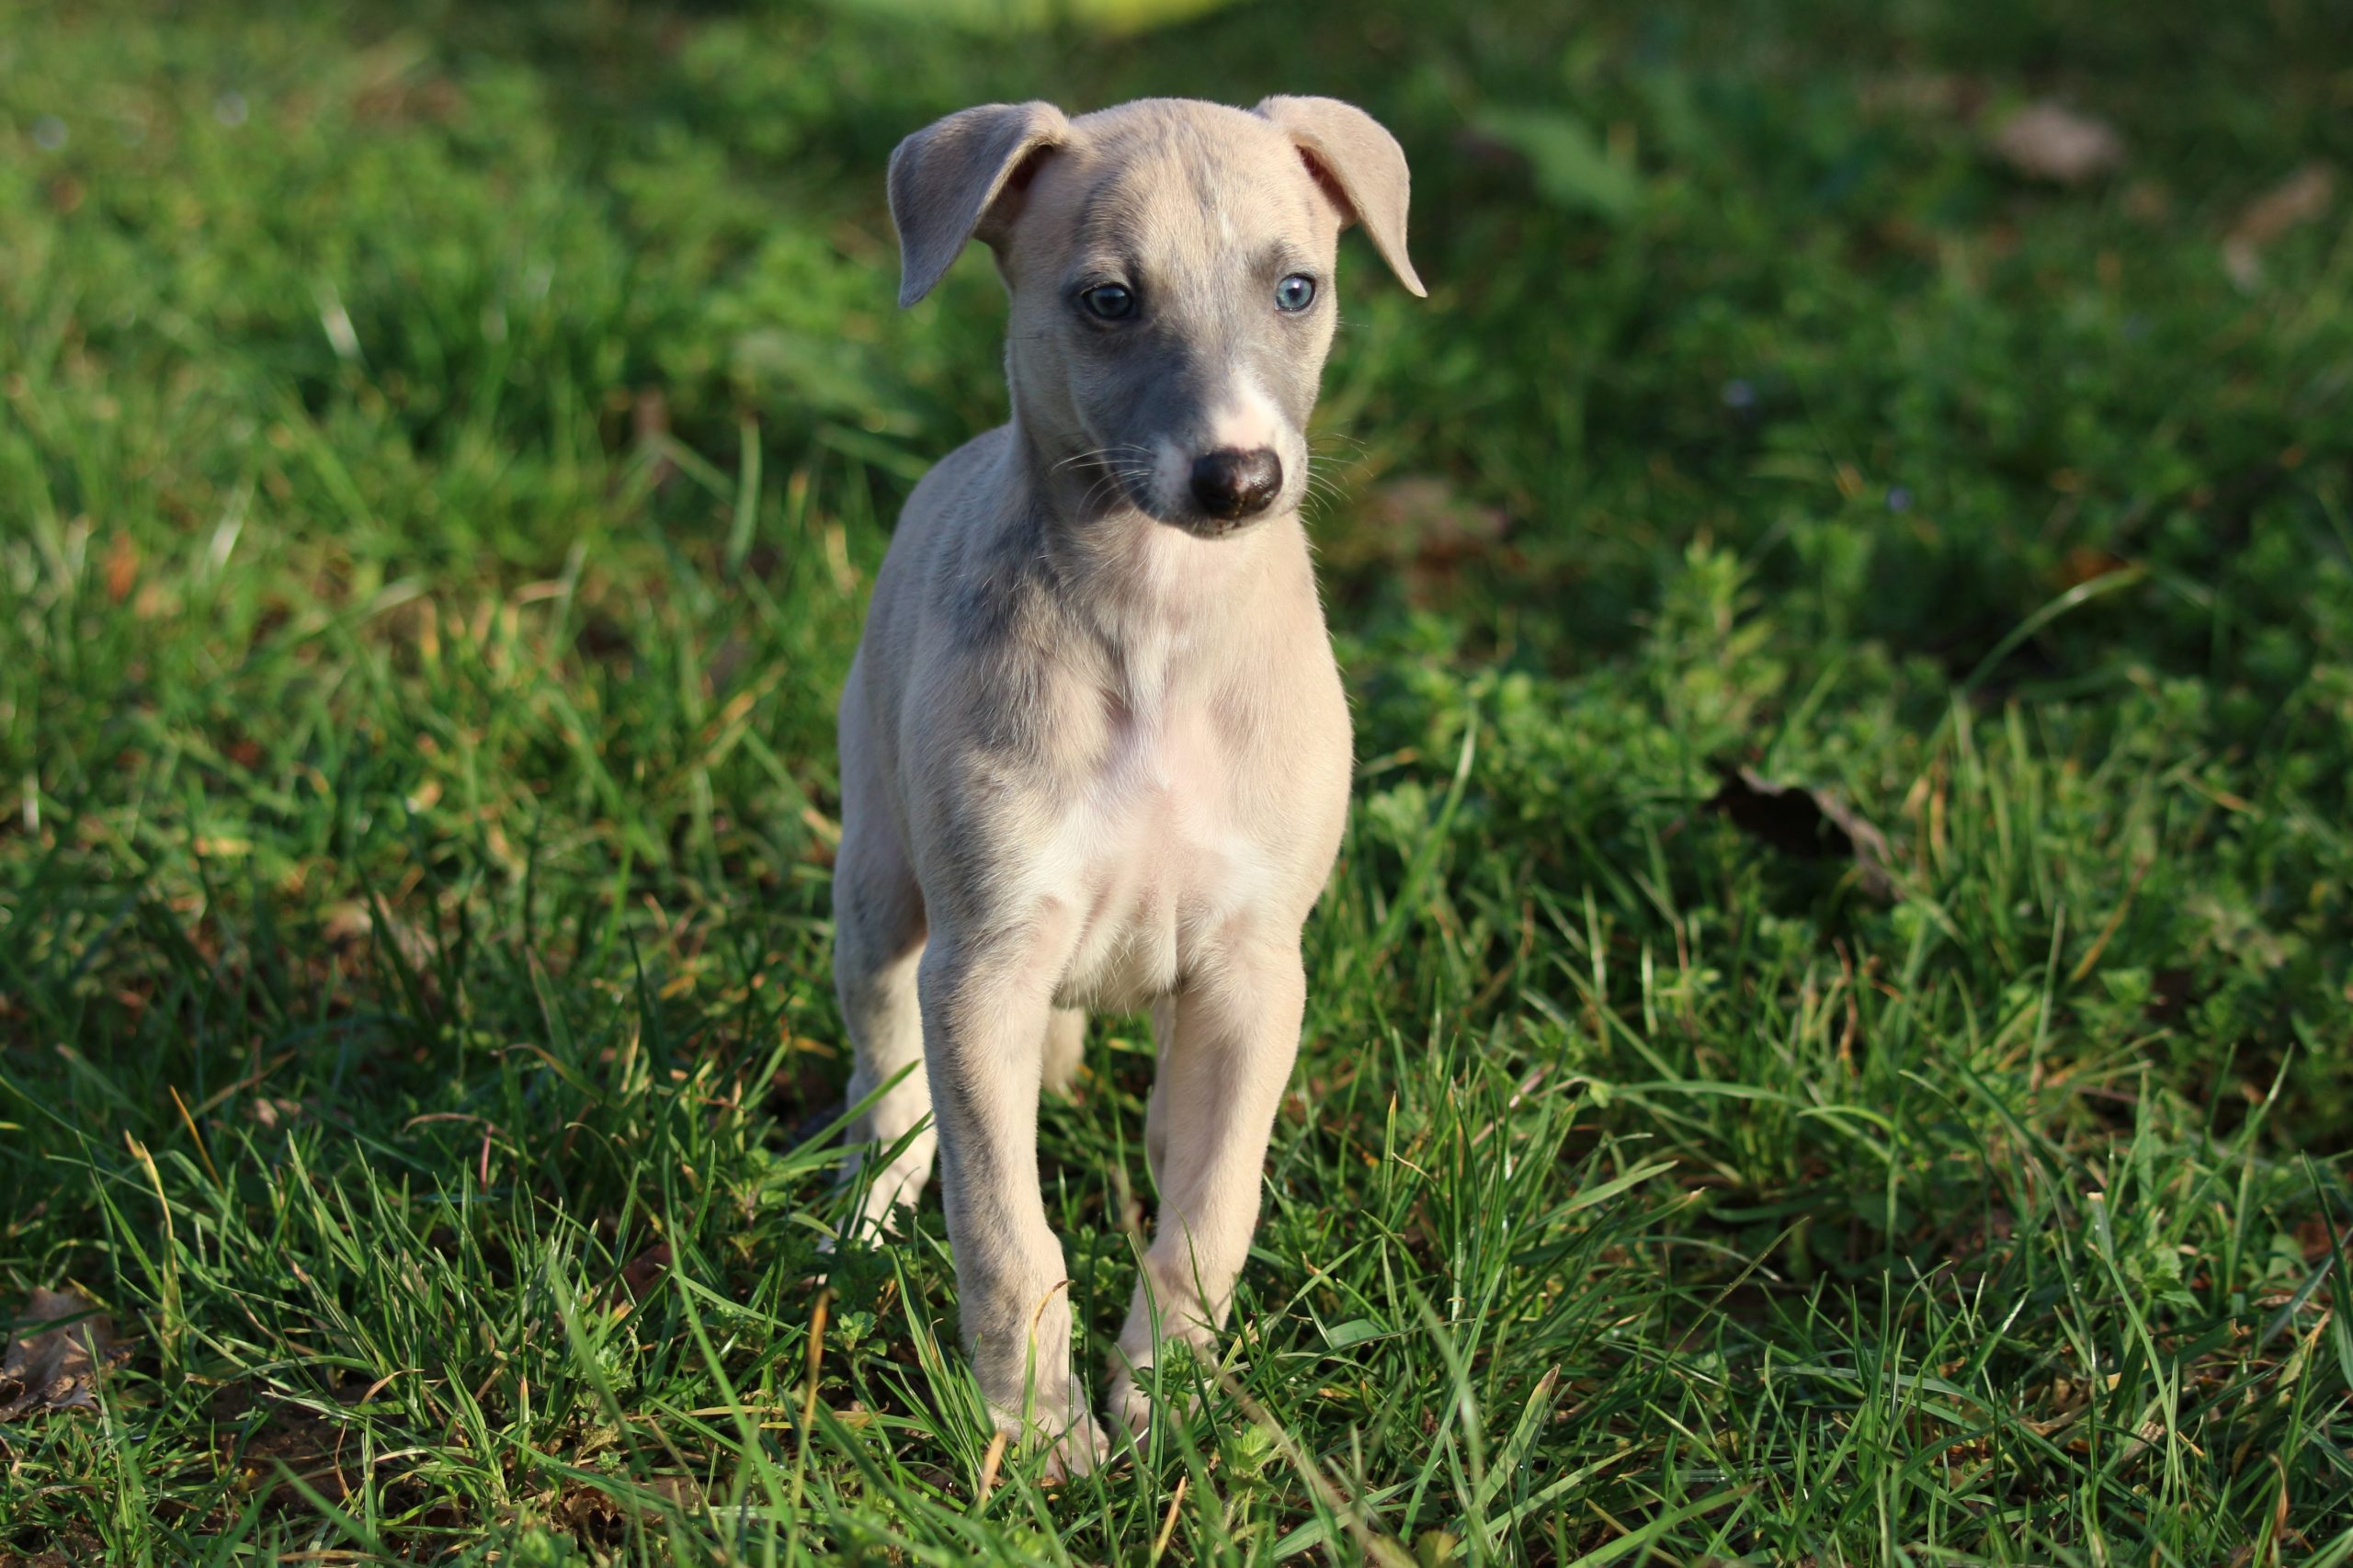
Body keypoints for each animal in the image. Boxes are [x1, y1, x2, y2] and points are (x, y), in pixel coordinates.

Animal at [837, 95, 1421, 1469]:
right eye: (1108, 299)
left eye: (1297, 288)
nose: (1241, 479)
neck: (1158, 617)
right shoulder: (984, 967)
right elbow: (1004, 1220)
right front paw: (1038, 1434)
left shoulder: (1256, 968)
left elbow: (1213, 1199)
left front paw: (1169, 1401)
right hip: (878, 878)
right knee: (883, 1069)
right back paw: (865, 1214)